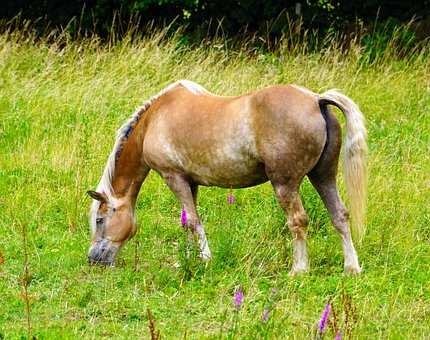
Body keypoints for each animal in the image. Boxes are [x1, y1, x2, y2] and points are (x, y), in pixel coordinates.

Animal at [86, 80, 366, 276]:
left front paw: (205, 259)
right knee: (340, 215)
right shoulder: (190, 182)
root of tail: (316, 100)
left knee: (298, 221)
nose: (93, 259)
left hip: (285, 185)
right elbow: (187, 221)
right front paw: (188, 259)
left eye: (100, 219)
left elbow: (193, 221)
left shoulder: (173, 177)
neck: (155, 119)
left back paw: (299, 270)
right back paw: (351, 267)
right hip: (323, 176)